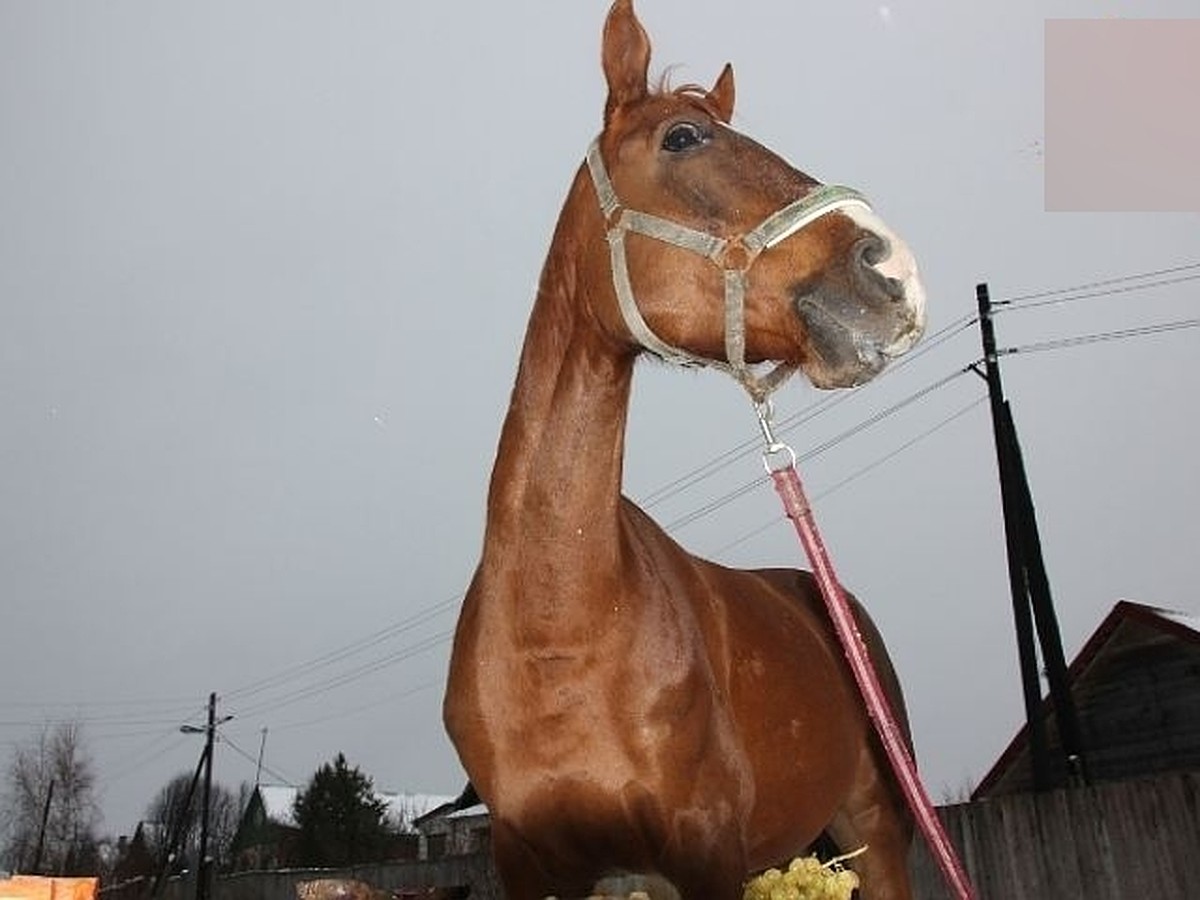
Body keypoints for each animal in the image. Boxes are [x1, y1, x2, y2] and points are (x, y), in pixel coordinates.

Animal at [446, 3, 921, 897]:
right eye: (683, 137)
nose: (894, 270)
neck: (556, 638)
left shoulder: (706, 850)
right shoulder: (528, 860)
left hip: (878, 831)